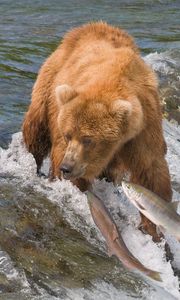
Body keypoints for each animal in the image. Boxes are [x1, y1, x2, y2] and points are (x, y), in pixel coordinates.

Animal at [22, 21, 172, 241]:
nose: (66, 167)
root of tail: (87, 26)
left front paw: (153, 228)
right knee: (36, 129)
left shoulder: (143, 127)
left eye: (88, 139)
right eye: (68, 135)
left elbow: (150, 171)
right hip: (49, 83)